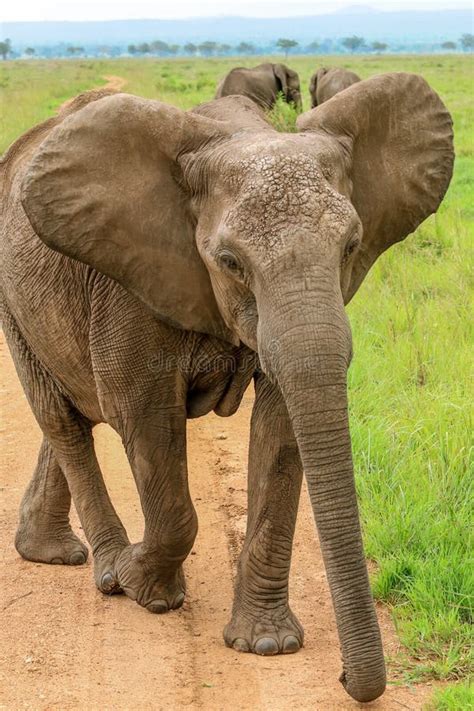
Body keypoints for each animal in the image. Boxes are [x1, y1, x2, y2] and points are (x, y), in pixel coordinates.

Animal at [0, 73, 452, 708]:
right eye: (230, 261)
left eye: (351, 246)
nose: (344, 678)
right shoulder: (130, 287)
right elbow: (144, 417)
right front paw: (146, 590)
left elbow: (282, 428)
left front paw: (266, 645)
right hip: (11, 300)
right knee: (62, 419)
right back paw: (107, 570)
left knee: (72, 411)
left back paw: (51, 553)